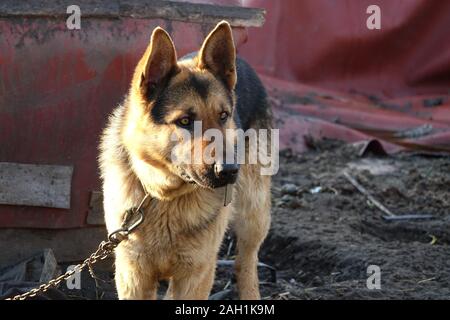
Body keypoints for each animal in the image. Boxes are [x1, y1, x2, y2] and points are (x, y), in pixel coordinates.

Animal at [99, 21, 270, 298]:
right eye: (185, 121)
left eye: (223, 116)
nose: (230, 171)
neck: (165, 197)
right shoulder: (133, 275)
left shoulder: (195, 276)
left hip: (254, 214)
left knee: (247, 261)